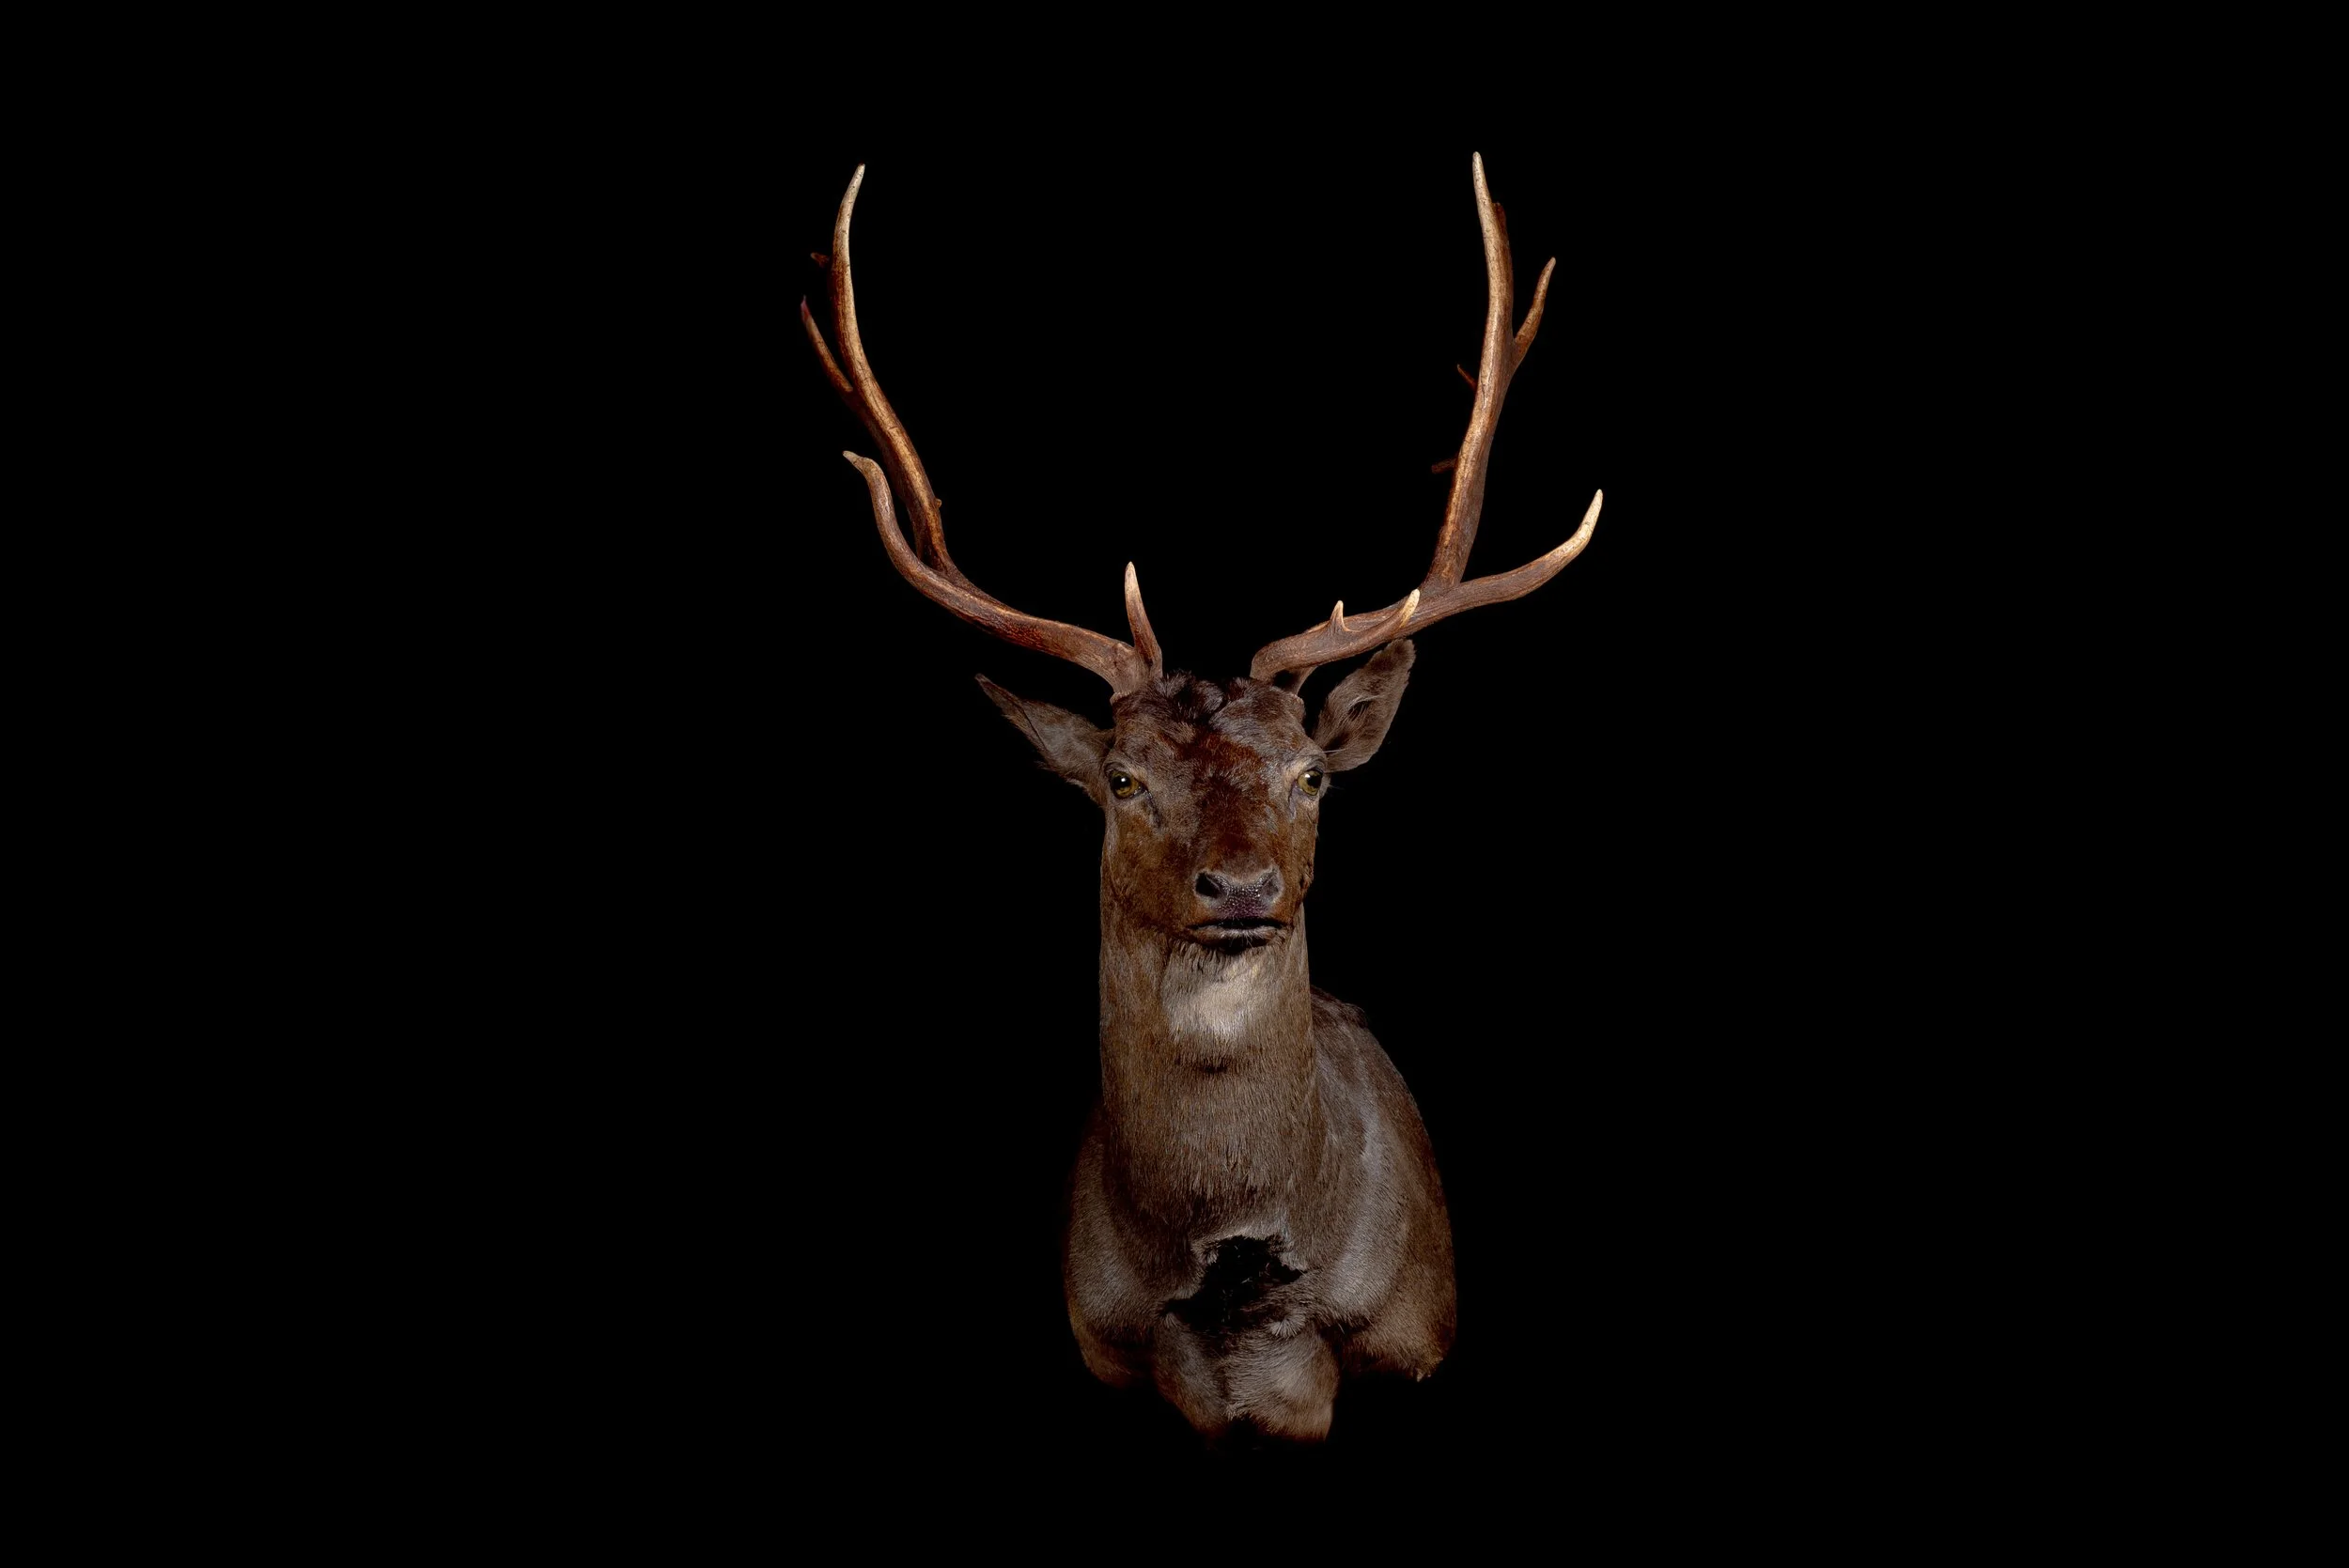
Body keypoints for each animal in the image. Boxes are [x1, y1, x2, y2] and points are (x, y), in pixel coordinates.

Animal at [801, 154, 1600, 1443]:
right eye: (1122, 779)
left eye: (1310, 774)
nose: (1239, 886)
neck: (1241, 1286)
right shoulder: (1116, 1356)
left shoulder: (1408, 1341)